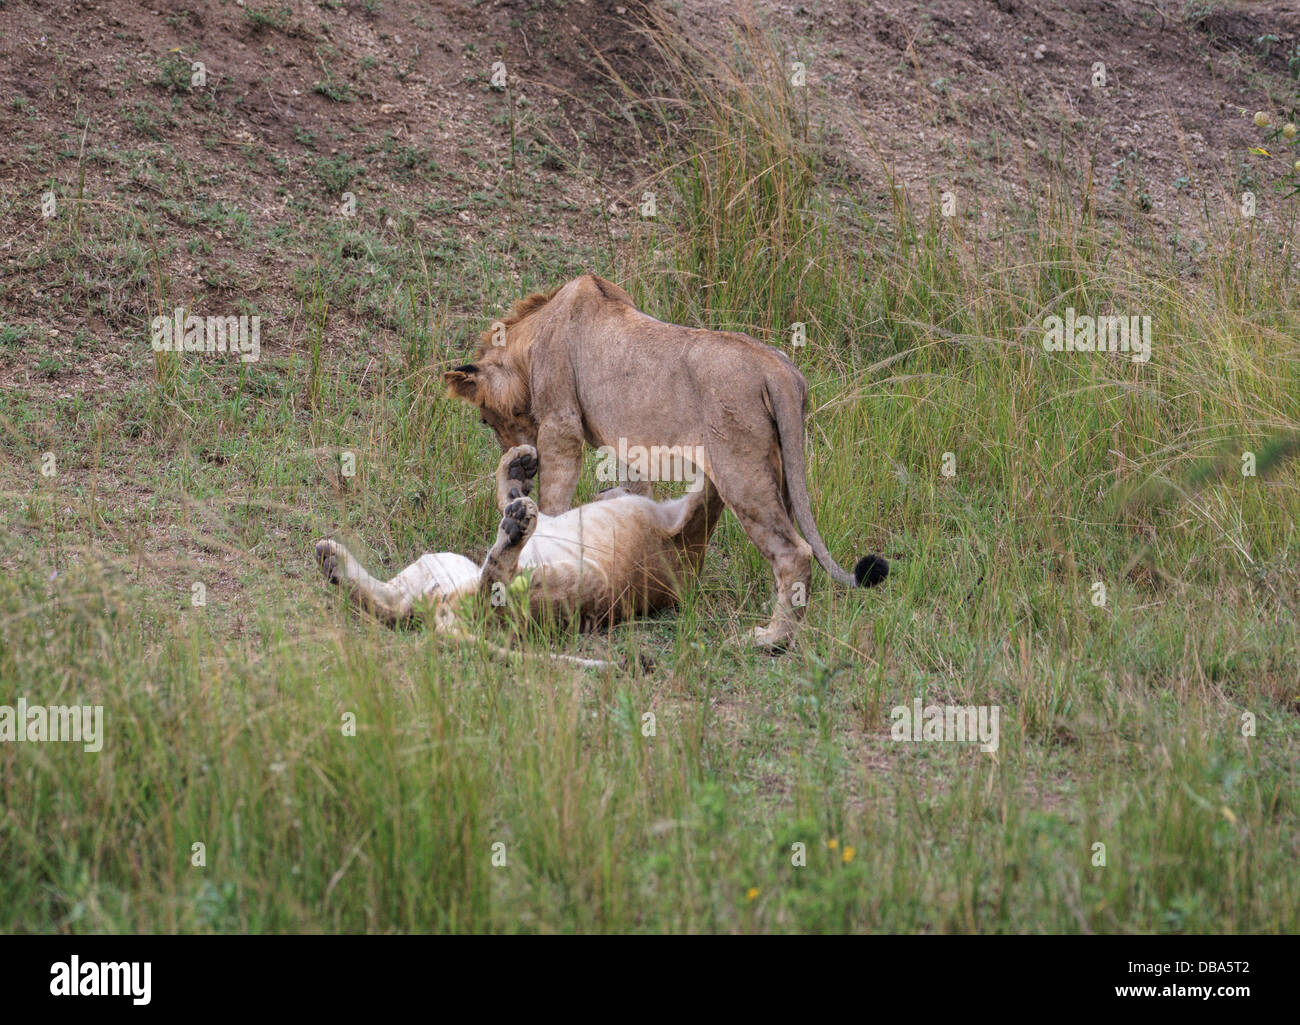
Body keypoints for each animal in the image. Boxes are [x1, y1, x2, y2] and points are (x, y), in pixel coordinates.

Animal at [313, 444, 722, 645]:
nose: (607, 486)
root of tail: (441, 612)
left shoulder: (687, 537)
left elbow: (710, 499)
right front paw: (519, 465)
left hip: (585, 582)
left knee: (489, 591)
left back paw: (515, 528)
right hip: (442, 565)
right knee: (393, 606)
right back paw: (331, 560)